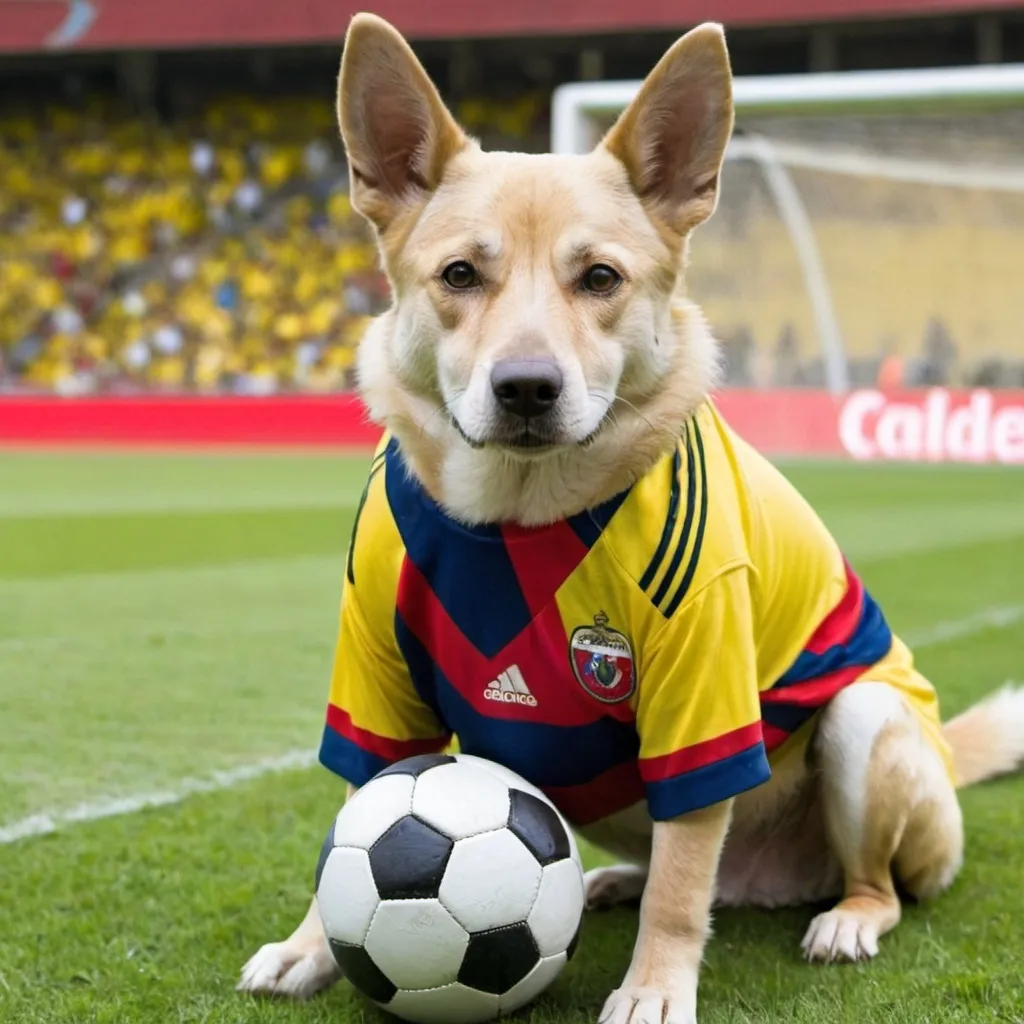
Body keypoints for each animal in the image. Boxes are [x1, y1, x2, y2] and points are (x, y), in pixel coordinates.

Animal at [235, 14, 1024, 1015]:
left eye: (600, 277)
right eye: (460, 273)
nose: (526, 387)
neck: (516, 513)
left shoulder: (702, 693)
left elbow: (683, 892)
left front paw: (654, 988)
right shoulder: (375, 672)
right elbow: (357, 817)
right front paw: (311, 945)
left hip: (866, 723)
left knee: (845, 880)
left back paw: (845, 915)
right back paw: (613, 882)